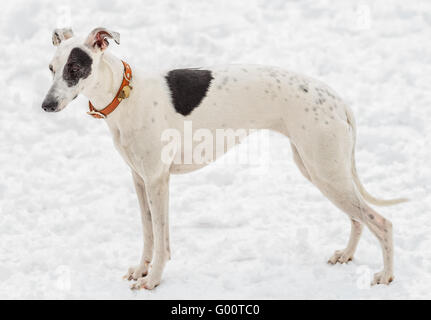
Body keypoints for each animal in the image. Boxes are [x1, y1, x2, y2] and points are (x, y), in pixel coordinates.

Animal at [41, 28, 408, 290]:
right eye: (51, 68)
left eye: (75, 68)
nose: (46, 105)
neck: (125, 93)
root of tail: (338, 100)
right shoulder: (140, 179)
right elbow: (149, 234)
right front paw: (141, 270)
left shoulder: (158, 180)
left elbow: (161, 238)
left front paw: (154, 279)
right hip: (318, 170)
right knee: (358, 219)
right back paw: (346, 255)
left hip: (326, 170)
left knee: (381, 222)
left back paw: (386, 276)